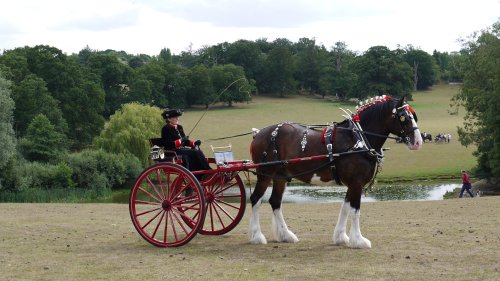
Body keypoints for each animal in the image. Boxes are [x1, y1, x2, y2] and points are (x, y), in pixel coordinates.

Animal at [249, 94, 422, 247]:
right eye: (403, 117)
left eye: (414, 116)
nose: (418, 142)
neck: (358, 139)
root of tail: (259, 133)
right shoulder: (356, 182)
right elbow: (355, 209)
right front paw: (358, 240)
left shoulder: (353, 183)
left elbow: (345, 208)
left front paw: (341, 237)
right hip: (265, 174)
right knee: (255, 199)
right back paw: (257, 236)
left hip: (280, 176)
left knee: (275, 202)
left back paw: (285, 235)